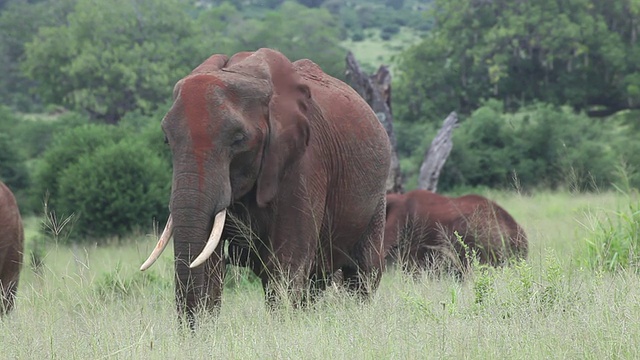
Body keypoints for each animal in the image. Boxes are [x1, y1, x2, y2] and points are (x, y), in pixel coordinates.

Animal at [140, 47, 390, 326]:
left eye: (238, 139)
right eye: (166, 139)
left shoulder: (304, 160)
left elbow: (287, 263)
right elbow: (210, 263)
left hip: (377, 198)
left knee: (364, 273)